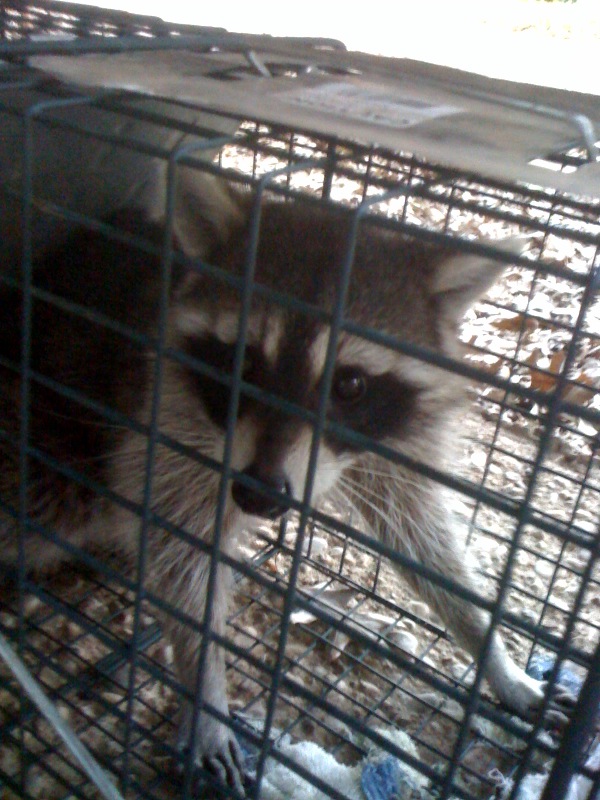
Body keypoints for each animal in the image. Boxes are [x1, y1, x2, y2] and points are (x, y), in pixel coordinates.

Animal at [0, 174, 572, 795]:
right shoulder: (167, 426)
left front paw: (491, 652)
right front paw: (205, 688)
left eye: (349, 384)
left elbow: (423, 540)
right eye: (243, 363)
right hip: (49, 451)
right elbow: (183, 557)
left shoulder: (388, 438)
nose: (259, 494)